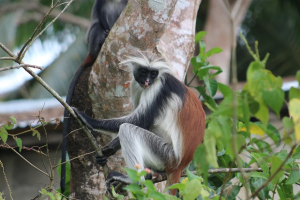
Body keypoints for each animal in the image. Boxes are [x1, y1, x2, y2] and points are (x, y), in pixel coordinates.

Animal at [72, 52, 206, 195]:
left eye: (153, 73)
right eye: (143, 72)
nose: (147, 81)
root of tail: (180, 165)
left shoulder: (157, 88)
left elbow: (141, 121)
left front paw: (87, 119)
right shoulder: (136, 84)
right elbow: (141, 122)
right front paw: (108, 151)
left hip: (167, 155)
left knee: (128, 129)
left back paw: (138, 179)